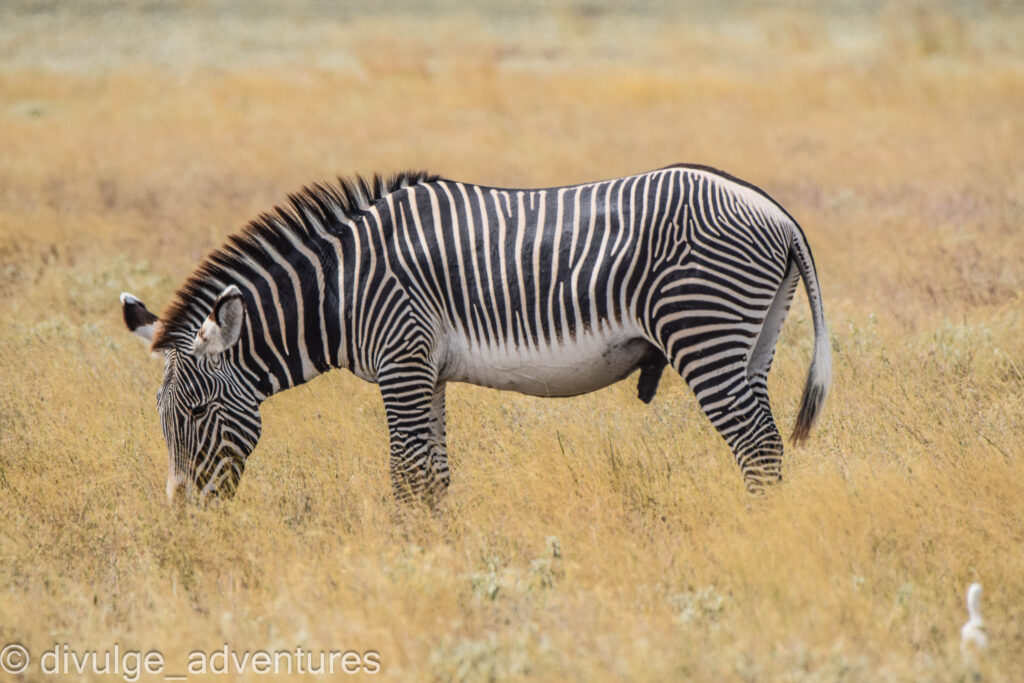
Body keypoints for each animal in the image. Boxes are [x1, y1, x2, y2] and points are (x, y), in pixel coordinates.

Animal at [120, 164, 830, 506]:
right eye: (160, 415)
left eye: (199, 411)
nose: (184, 515)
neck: (339, 288)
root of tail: (775, 211)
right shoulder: (426, 371)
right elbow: (434, 476)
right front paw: (440, 555)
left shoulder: (402, 359)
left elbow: (407, 475)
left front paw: (407, 566)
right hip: (753, 342)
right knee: (766, 446)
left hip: (703, 330)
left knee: (758, 448)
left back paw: (754, 541)